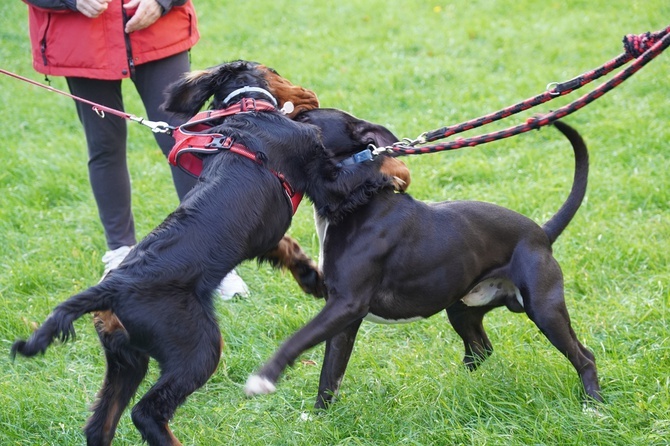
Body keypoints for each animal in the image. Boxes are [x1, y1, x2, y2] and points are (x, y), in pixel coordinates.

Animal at [10, 61, 404, 446]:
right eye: (276, 71)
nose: (309, 92)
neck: (249, 111)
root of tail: (111, 287)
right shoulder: (323, 180)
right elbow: (364, 170)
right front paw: (397, 168)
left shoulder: (265, 233)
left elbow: (287, 246)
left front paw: (313, 279)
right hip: (197, 347)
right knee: (147, 412)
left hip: (127, 358)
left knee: (100, 425)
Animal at [245, 116, 604, 406]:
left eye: (307, 119)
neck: (358, 200)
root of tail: (541, 233)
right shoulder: (341, 317)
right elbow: (330, 375)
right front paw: (319, 418)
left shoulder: (345, 305)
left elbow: (299, 339)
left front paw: (264, 378)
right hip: (462, 309)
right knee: (480, 348)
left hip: (544, 310)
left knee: (585, 356)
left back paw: (593, 406)